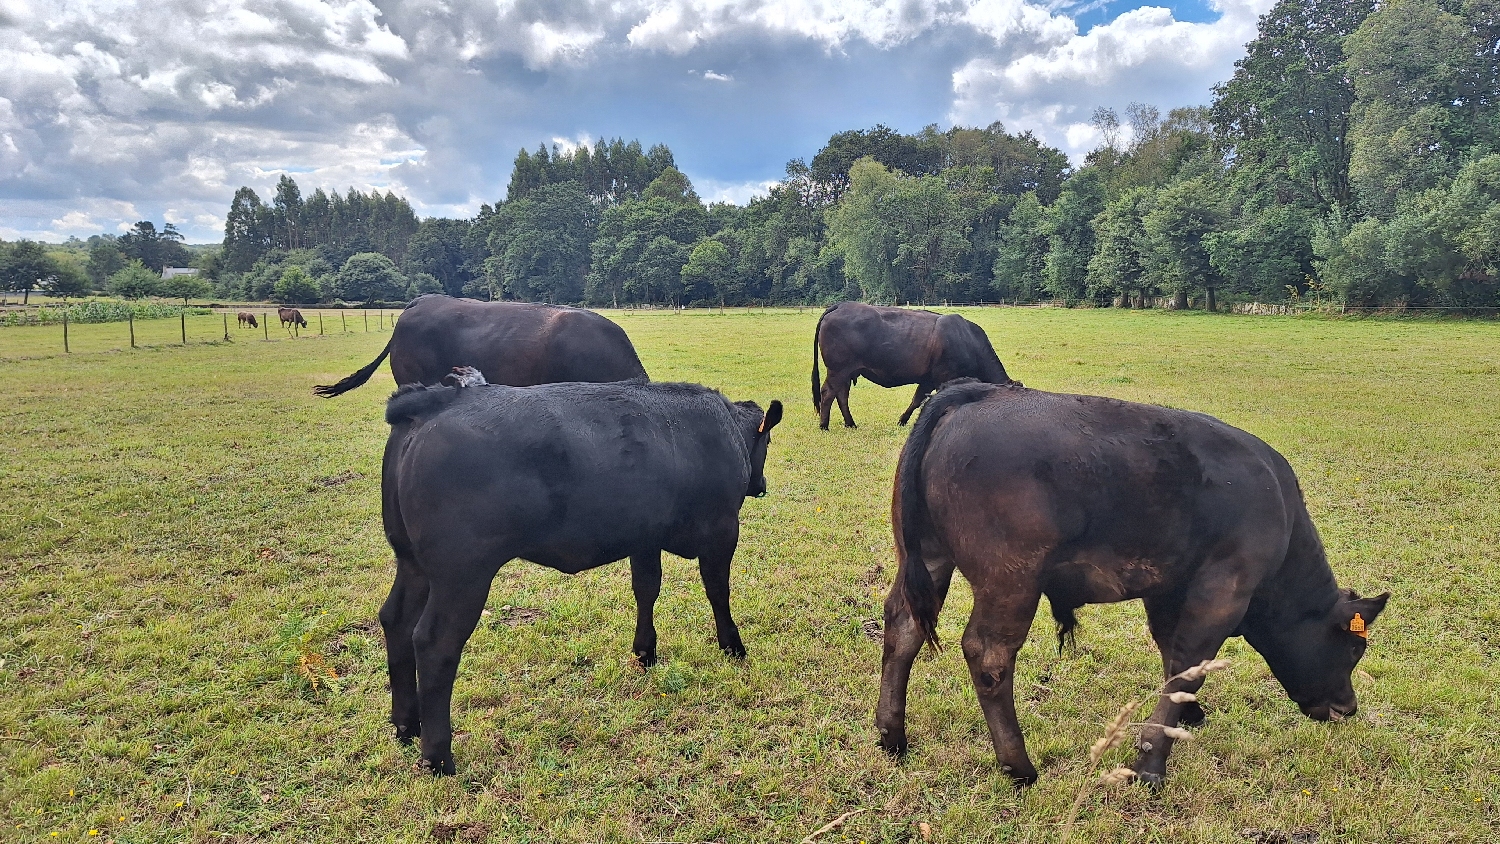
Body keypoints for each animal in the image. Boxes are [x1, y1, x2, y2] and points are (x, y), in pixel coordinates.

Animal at [378, 377, 786, 779]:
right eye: (767, 441)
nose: (762, 484)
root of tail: (440, 398)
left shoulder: (644, 536)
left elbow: (646, 588)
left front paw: (645, 653)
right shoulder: (722, 528)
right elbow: (718, 589)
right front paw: (733, 646)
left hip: (414, 564)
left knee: (395, 619)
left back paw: (406, 724)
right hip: (462, 574)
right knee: (435, 643)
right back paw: (438, 758)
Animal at [816, 302, 1014, 428]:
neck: (967, 339)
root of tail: (841, 305)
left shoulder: (928, 379)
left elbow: (916, 400)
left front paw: (902, 421)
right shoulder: (943, 377)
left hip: (846, 372)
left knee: (841, 395)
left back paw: (850, 423)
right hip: (838, 370)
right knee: (828, 393)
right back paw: (824, 425)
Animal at [876, 379, 1392, 791]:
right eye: (1353, 648)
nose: (1347, 708)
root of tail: (976, 394)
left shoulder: (1168, 588)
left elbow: (1173, 657)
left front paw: (1187, 715)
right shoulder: (1224, 590)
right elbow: (1188, 665)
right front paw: (1152, 765)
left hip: (927, 556)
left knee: (902, 627)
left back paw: (891, 736)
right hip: (1010, 581)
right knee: (989, 657)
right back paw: (1018, 767)